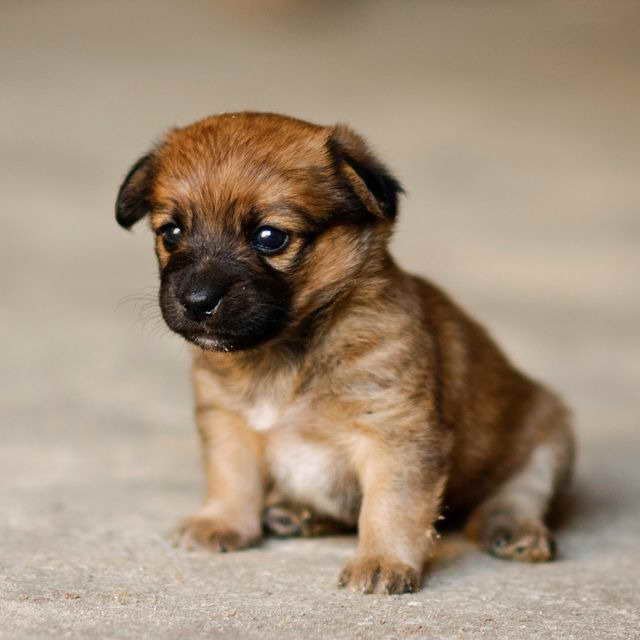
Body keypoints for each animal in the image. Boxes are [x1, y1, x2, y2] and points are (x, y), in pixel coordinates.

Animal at [115, 111, 576, 596]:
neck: (286, 353)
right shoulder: (227, 420)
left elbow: (390, 506)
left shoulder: (396, 434)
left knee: (517, 495)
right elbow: (232, 476)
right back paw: (298, 513)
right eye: (171, 233)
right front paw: (221, 522)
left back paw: (513, 529)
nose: (196, 301)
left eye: (270, 237)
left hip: (549, 439)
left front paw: (382, 561)